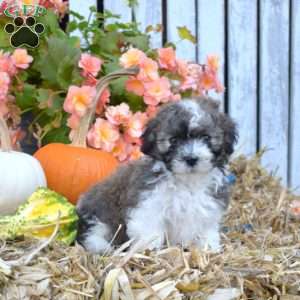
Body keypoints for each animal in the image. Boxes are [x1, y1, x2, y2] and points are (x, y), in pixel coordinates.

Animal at [76, 97, 238, 252]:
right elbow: (150, 230)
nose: (191, 158)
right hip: (97, 215)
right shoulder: (148, 205)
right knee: (92, 233)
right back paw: (102, 247)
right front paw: (149, 249)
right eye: (173, 140)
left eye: (206, 138)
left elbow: (205, 231)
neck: (187, 181)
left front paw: (208, 248)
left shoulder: (207, 210)